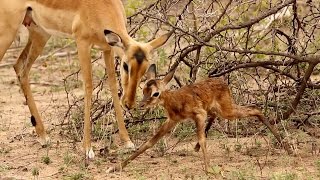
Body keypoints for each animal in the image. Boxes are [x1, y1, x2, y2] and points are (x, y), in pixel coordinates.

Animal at [0, 0, 172, 160]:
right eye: (125, 65)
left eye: (144, 70)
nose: (129, 104)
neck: (100, 7)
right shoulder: (82, 44)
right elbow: (88, 87)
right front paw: (88, 149)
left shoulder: (107, 49)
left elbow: (112, 86)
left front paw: (127, 142)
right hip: (8, 33)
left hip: (40, 33)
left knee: (20, 67)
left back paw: (43, 137)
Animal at [108, 65, 290, 173]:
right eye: (144, 90)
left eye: (155, 93)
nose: (141, 104)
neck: (175, 101)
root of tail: (223, 83)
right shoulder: (172, 120)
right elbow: (149, 143)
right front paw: (116, 167)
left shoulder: (199, 115)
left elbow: (203, 139)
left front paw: (209, 169)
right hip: (219, 110)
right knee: (227, 113)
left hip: (227, 111)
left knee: (254, 109)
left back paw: (287, 147)